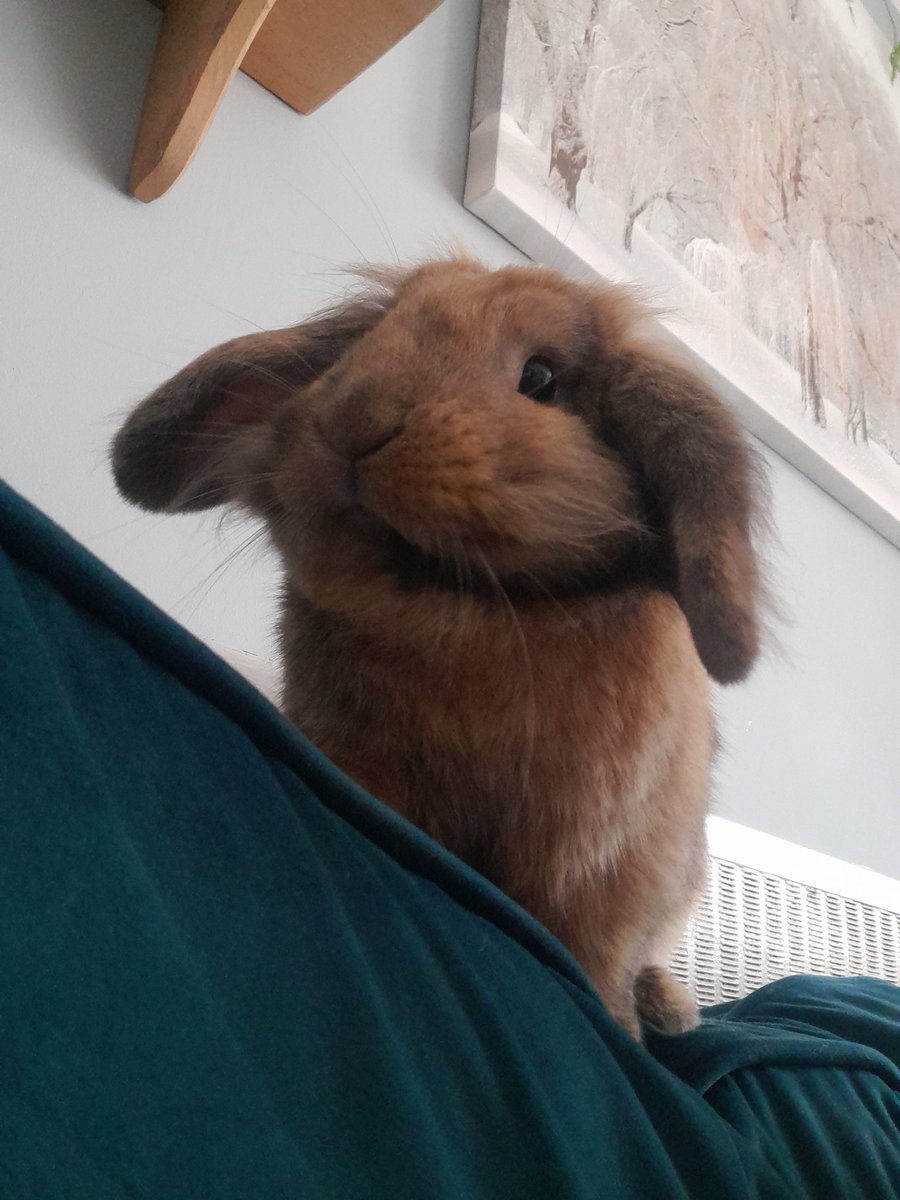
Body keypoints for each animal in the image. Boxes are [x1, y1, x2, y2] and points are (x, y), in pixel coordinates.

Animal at [111, 256, 765, 1040]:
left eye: (541, 378)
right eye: (372, 337)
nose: (356, 417)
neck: (461, 616)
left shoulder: (609, 862)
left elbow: (596, 957)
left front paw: (615, 1032)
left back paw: (671, 1009)